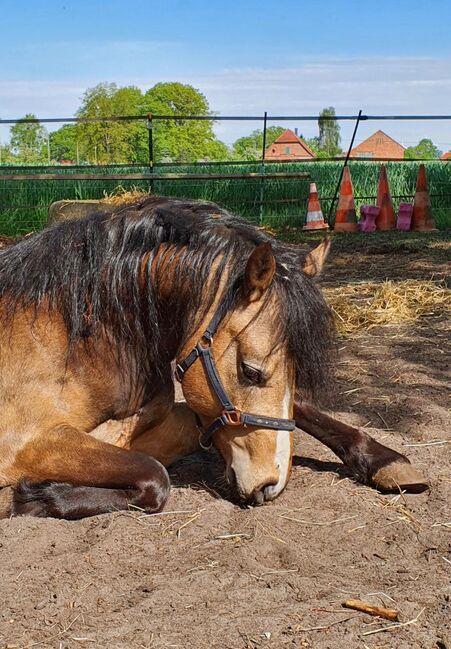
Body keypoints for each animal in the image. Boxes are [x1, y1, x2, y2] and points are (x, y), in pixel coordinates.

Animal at [0, 196, 427, 519]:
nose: (270, 484)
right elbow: (156, 477)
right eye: (250, 371)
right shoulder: (30, 442)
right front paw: (34, 496)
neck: (78, 337)